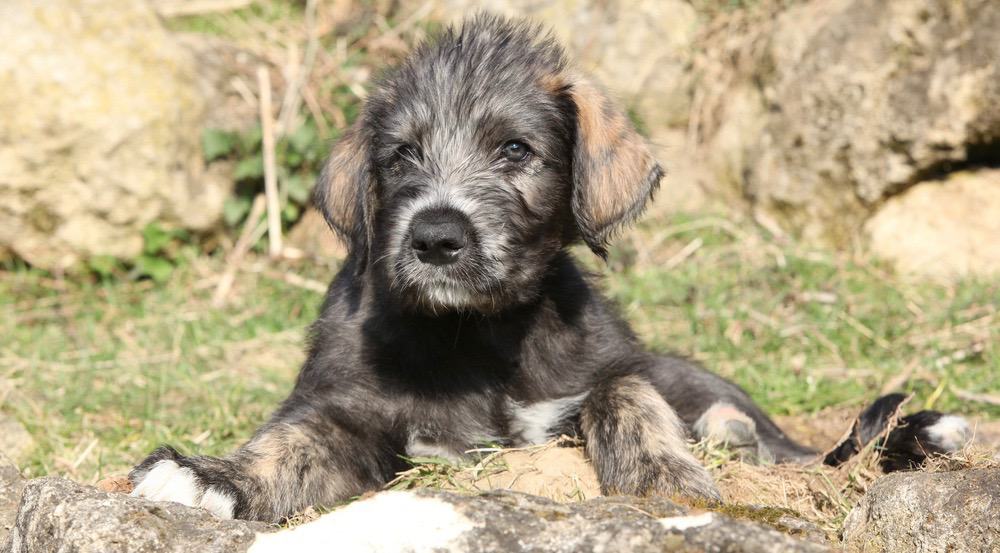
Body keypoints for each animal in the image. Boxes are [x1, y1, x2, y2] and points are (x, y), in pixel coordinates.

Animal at [131, 14, 968, 520]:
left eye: (515, 150)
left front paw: (663, 474)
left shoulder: (607, 371)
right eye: (400, 155)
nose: (436, 236)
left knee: (797, 450)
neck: (478, 335)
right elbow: (290, 443)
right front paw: (211, 475)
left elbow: (627, 397)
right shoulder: (348, 411)